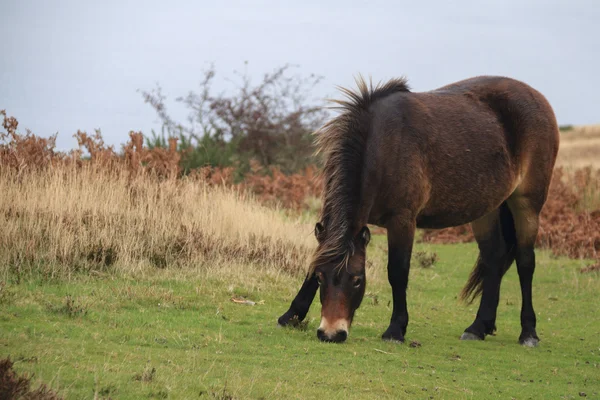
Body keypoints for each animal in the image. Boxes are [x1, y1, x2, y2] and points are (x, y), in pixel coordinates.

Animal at [278, 76, 560, 346]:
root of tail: (539, 99)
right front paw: (291, 315)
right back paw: (478, 327)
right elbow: (315, 262)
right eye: (321, 278)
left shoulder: (402, 220)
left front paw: (395, 329)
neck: (382, 146)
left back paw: (528, 333)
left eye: (357, 279)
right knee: (494, 258)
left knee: (525, 263)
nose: (331, 333)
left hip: (527, 204)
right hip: (487, 209)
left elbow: (398, 271)